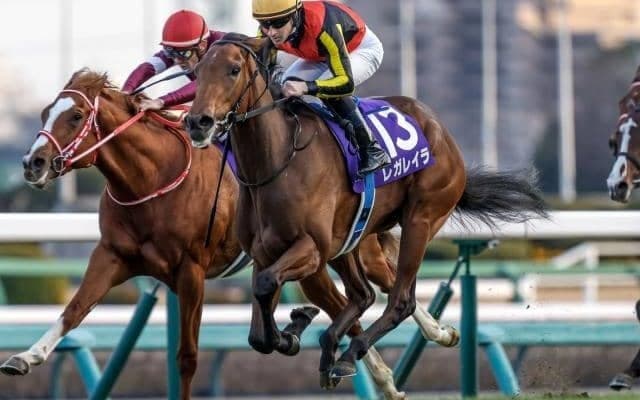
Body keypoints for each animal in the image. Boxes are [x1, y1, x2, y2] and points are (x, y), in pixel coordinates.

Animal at [4, 68, 453, 400]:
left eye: (76, 116)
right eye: (44, 113)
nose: (32, 163)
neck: (152, 178)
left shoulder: (190, 271)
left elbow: (186, 356)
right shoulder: (112, 256)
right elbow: (73, 310)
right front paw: (26, 357)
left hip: (341, 250)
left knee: (382, 284)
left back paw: (431, 337)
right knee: (350, 301)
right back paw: (373, 367)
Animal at [184, 34, 548, 381]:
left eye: (234, 70)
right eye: (197, 72)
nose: (198, 122)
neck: (277, 163)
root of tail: (438, 128)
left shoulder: (312, 248)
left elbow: (265, 287)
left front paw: (296, 330)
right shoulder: (265, 253)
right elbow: (259, 329)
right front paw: (294, 328)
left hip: (420, 218)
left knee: (400, 300)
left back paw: (348, 354)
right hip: (352, 239)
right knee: (364, 295)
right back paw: (332, 346)